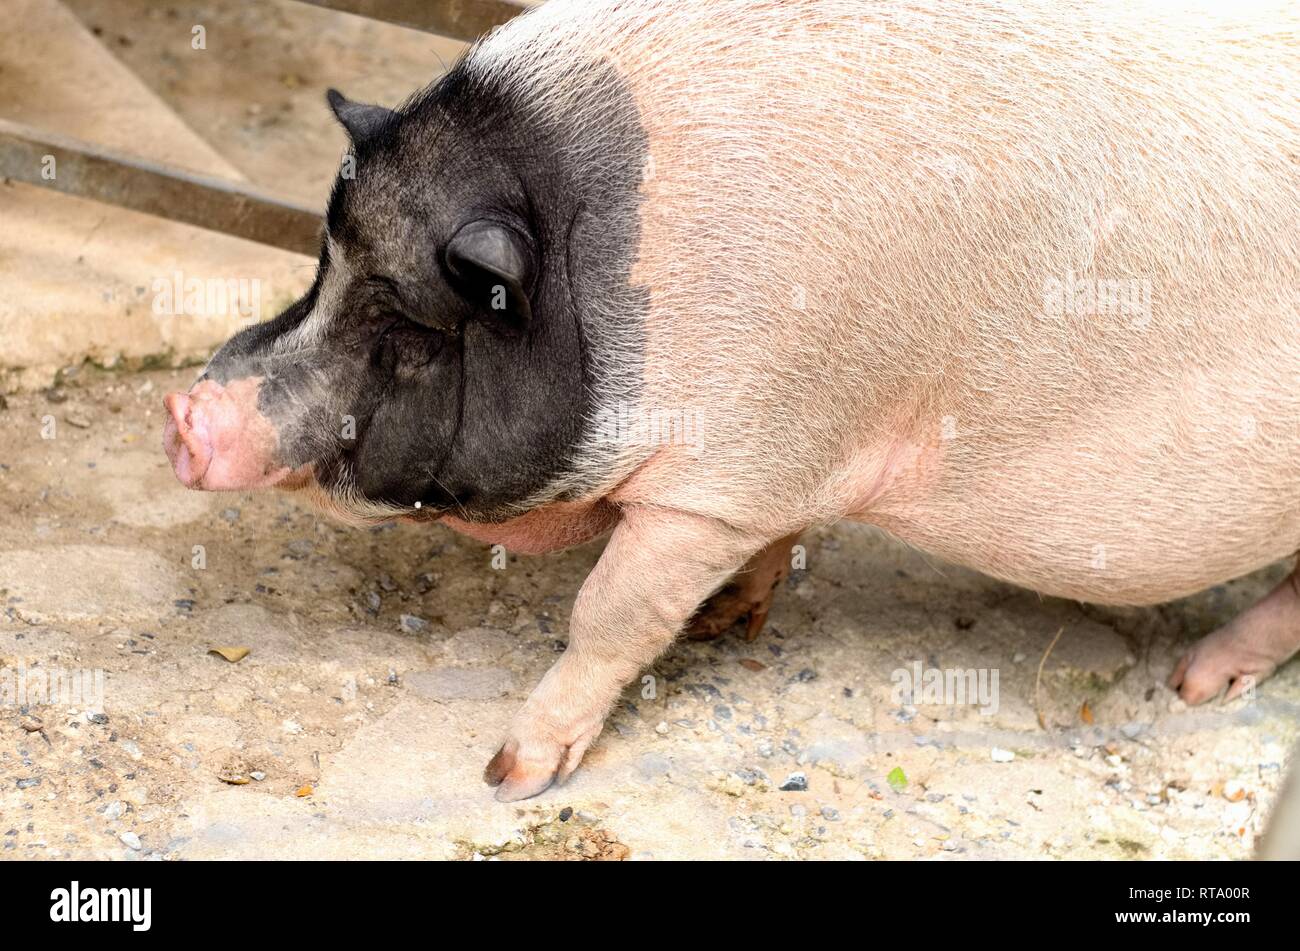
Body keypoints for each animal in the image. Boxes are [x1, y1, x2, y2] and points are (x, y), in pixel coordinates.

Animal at [162, 0, 1300, 800]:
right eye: (322, 265)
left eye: (405, 325)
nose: (186, 414)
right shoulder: (781, 464)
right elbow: (765, 547)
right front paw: (719, 625)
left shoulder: (712, 482)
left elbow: (607, 613)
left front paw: (508, 776)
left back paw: (1194, 685)